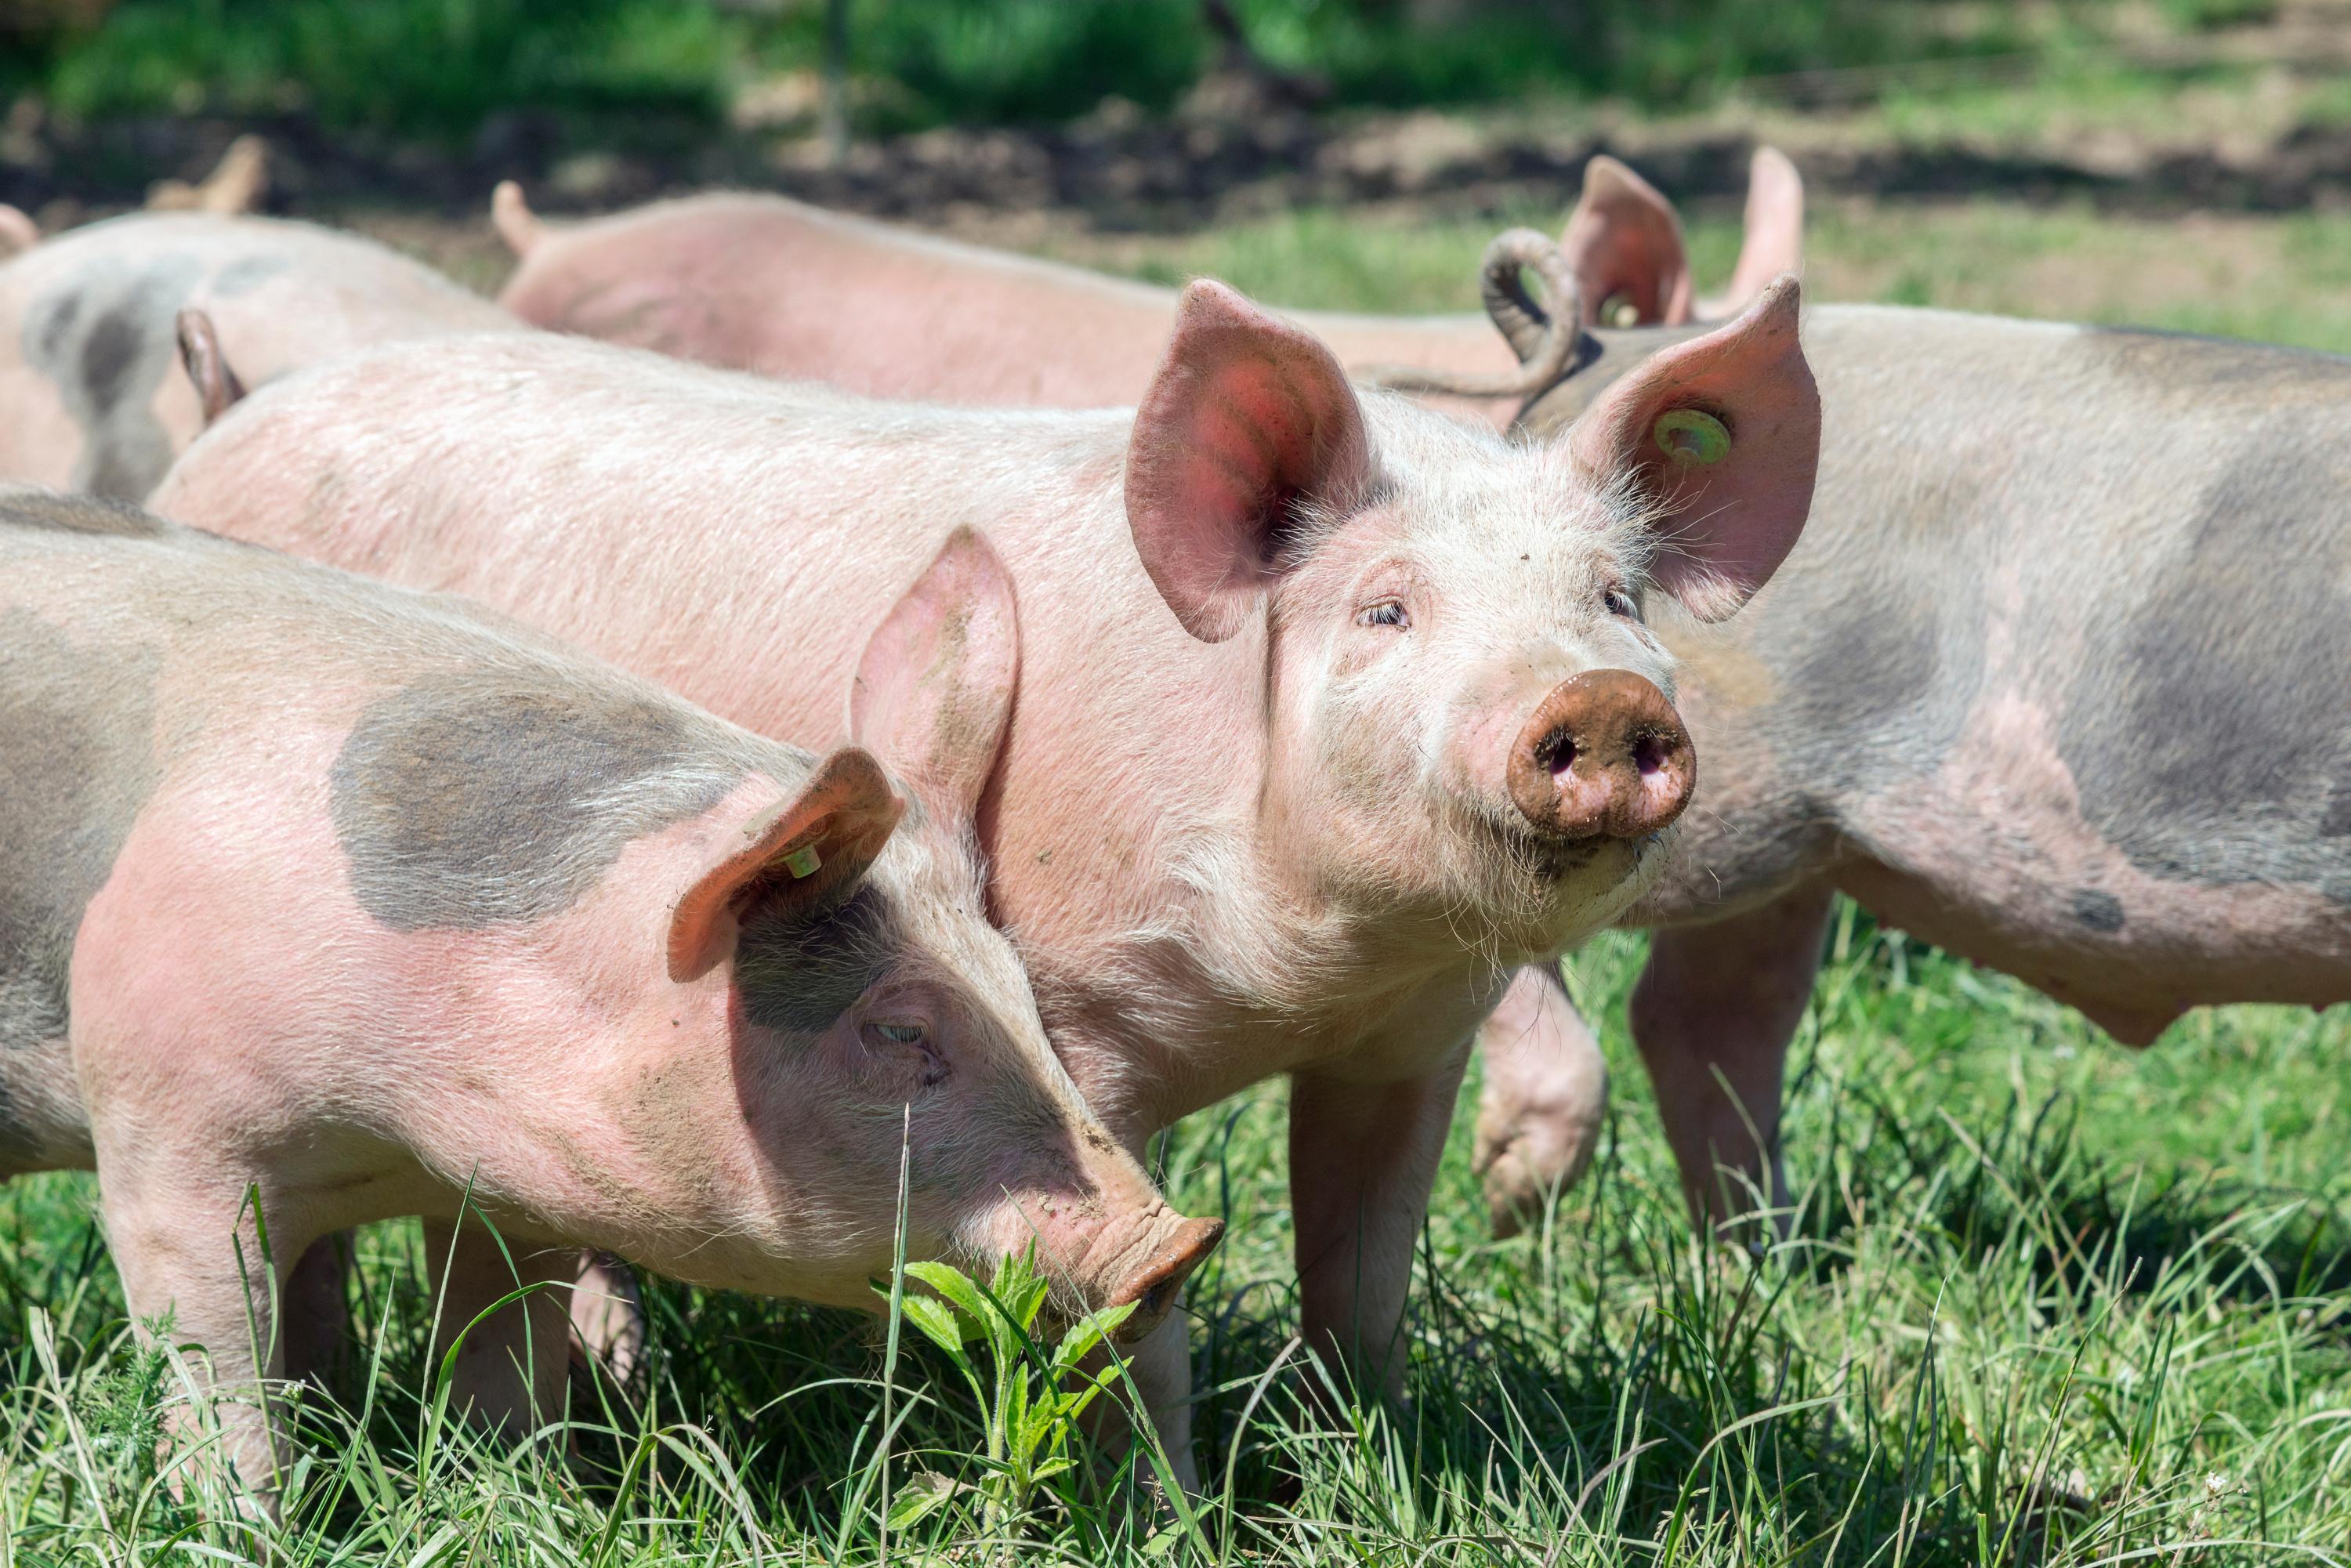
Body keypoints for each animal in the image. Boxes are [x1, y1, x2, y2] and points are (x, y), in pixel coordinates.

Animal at [0, 491, 1213, 1505]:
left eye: (1023, 990)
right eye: (899, 1027)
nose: (1176, 1241)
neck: (404, 1125)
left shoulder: (511, 1194)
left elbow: (499, 1353)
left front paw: (522, 1489)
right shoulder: (165, 1137)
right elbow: (216, 1369)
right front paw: (251, 1518)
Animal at [151, 276, 1834, 1476]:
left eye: (1618, 598)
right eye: (1385, 609)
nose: (1599, 704)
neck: (1312, 970)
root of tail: (226, 426)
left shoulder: (1406, 1039)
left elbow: (1362, 1279)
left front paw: (1372, 1466)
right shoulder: (1076, 1017)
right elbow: (1138, 1307)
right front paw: (1164, 1510)